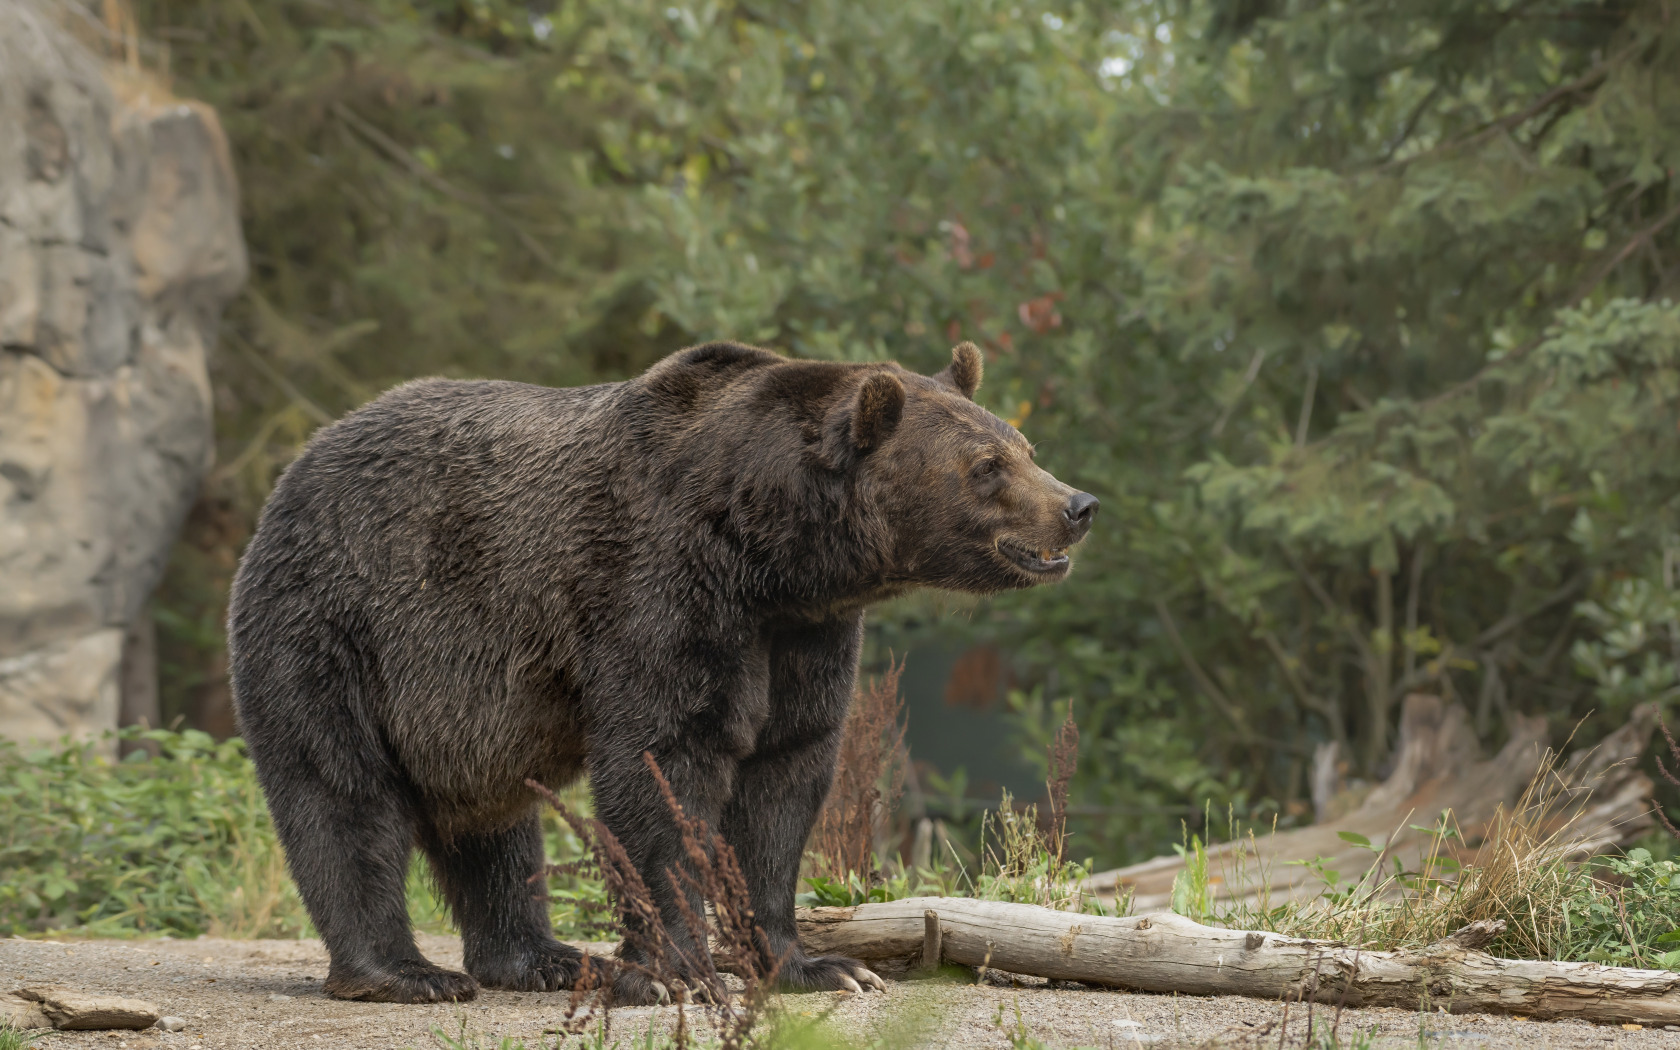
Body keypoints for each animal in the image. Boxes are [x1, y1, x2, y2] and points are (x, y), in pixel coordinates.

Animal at [226, 339, 1088, 1001]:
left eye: (1026, 448)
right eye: (986, 464)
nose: (1078, 505)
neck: (770, 552)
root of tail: (297, 466)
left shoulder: (804, 635)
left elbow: (784, 780)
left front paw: (818, 965)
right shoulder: (660, 586)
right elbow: (663, 765)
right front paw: (677, 972)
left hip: (462, 711)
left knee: (494, 825)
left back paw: (540, 958)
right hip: (338, 625)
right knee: (341, 793)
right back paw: (404, 973)